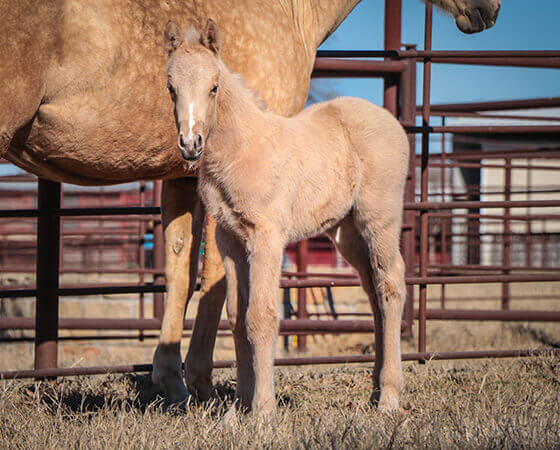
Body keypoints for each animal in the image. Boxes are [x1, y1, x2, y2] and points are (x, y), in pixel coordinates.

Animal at [164, 18, 410, 418]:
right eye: (171, 87)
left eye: (214, 86)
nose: (190, 144)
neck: (241, 148)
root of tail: (391, 121)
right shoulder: (230, 240)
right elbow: (237, 317)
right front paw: (238, 410)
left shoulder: (267, 236)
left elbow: (261, 317)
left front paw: (263, 411)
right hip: (345, 231)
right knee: (373, 291)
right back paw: (374, 392)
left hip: (379, 218)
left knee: (391, 285)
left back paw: (389, 397)